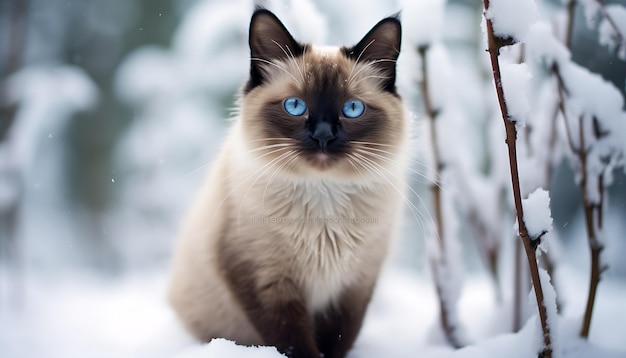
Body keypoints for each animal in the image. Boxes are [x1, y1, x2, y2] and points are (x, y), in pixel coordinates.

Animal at [168, 8, 408, 358]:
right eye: (295, 106)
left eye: (352, 109)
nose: (323, 136)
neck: (324, 199)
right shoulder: (266, 281)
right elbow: (293, 342)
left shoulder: (352, 288)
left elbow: (338, 341)